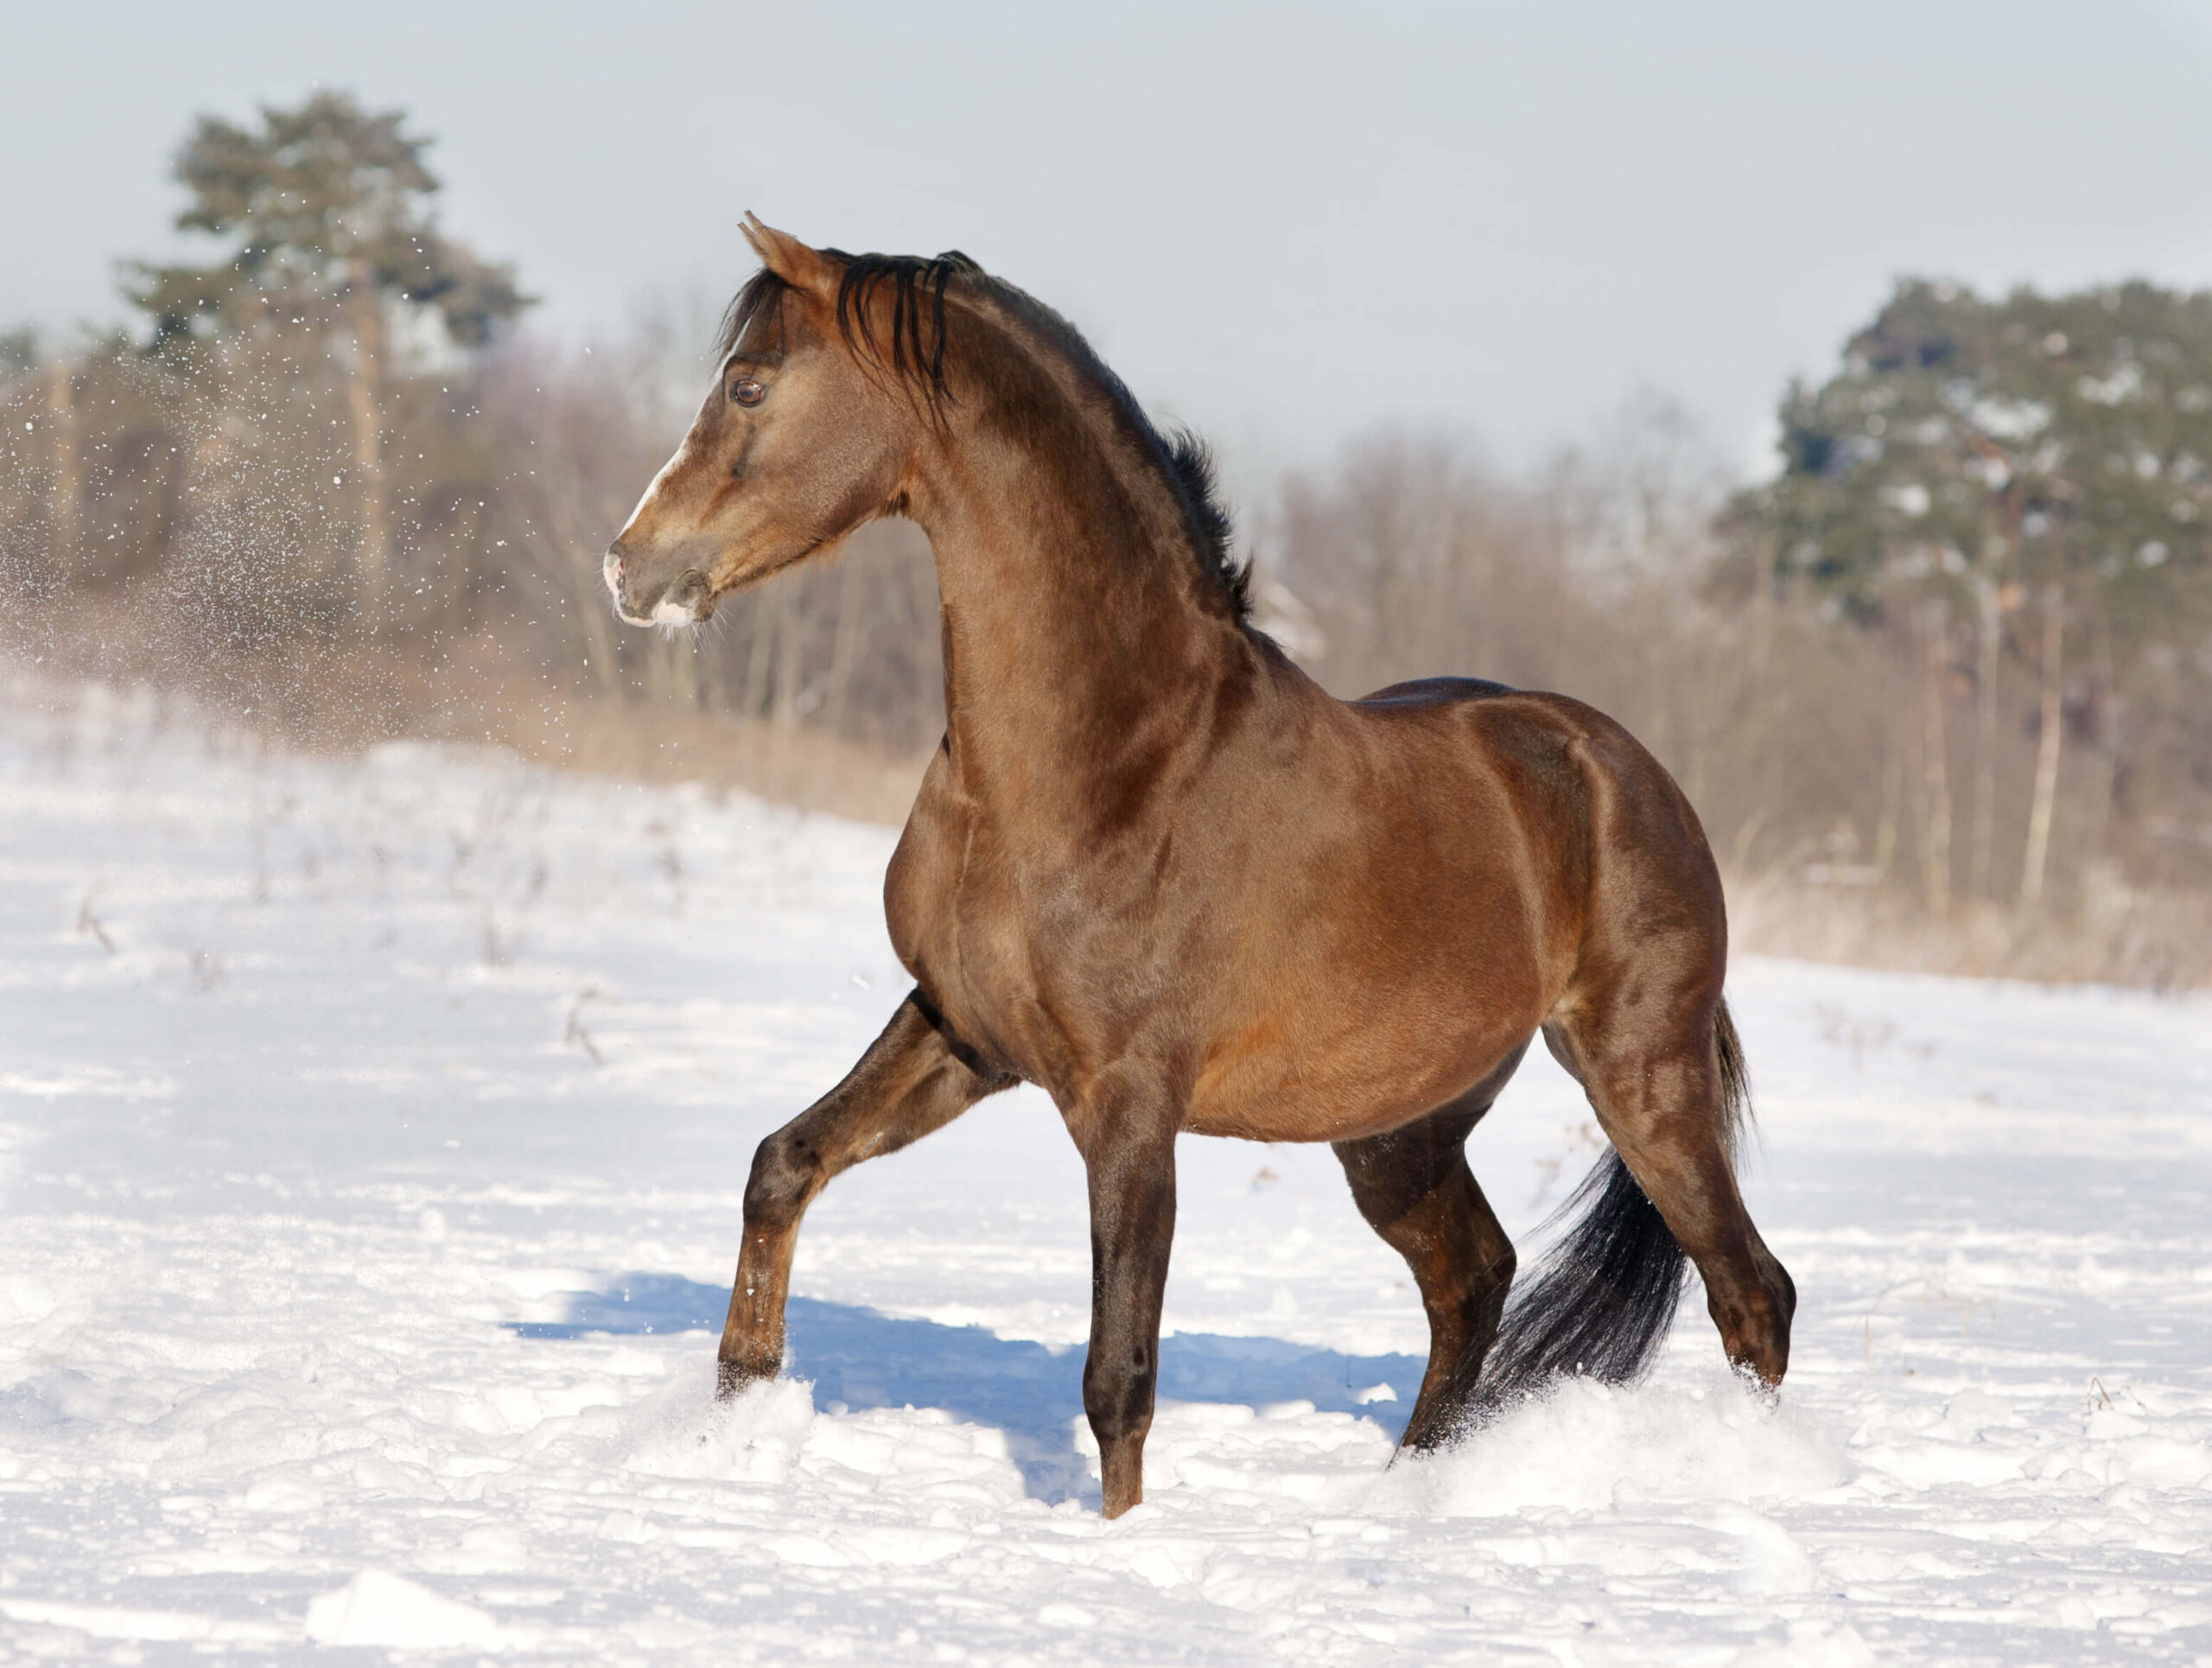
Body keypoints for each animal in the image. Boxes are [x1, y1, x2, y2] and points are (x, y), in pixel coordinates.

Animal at [604, 216, 1795, 1519]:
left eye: (750, 384)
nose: (629, 567)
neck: (1107, 757)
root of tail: (1627, 772)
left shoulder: (1129, 1104)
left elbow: (1118, 1375)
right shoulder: (963, 1033)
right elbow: (785, 1164)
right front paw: (736, 1414)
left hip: (1639, 1074)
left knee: (1751, 1292)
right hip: (1399, 1130)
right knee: (1475, 1279)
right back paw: (1407, 1497)